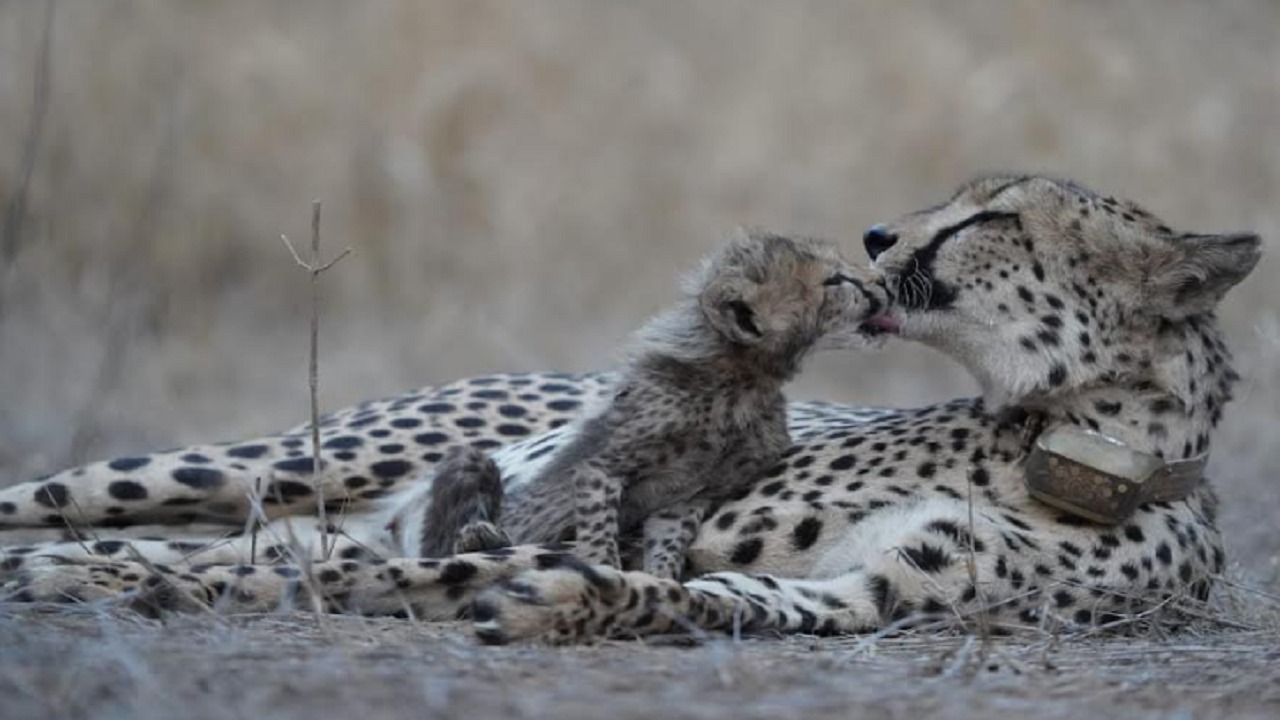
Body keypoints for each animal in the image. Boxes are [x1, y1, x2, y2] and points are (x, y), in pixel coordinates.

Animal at [418, 231, 888, 580]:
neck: (742, 381)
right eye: (835, 281)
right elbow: (599, 527)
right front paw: (605, 570)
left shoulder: (687, 496)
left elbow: (668, 542)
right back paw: (479, 536)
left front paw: (660, 582)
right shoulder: (602, 468)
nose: (880, 285)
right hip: (472, 462)